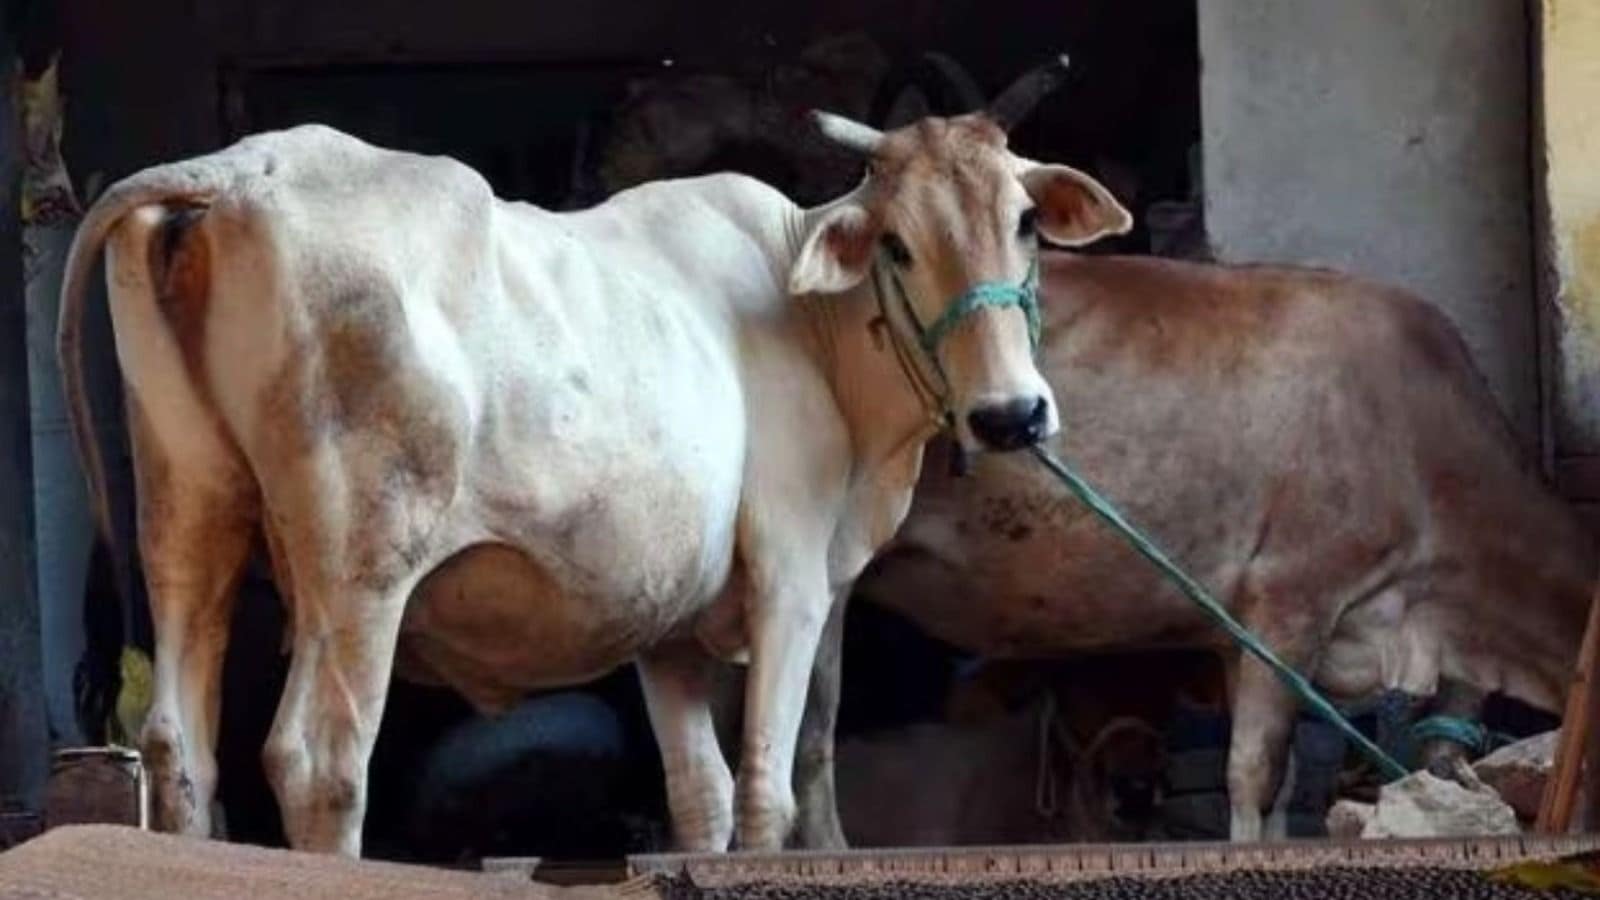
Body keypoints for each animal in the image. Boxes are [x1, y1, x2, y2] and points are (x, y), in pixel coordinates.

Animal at [56, 59, 1131, 855]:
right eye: (899, 244)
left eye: (1024, 223)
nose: (1011, 415)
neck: (810, 324)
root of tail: (242, 170)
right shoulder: (790, 578)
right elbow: (767, 793)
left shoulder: (667, 627)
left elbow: (699, 798)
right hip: (359, 568)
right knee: (321, 762)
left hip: (188, 515)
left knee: (180, 751)